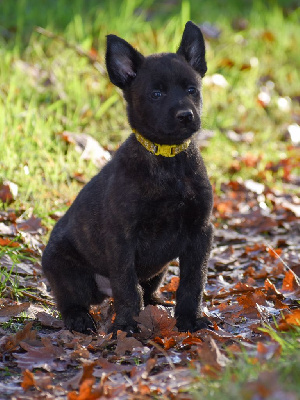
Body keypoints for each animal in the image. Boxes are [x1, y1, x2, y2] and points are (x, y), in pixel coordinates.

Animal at [42, 21, 216, 334]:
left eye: (191, 89)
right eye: (156, 94)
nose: (186, 115)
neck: (167, 162)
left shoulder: (200, 231)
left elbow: (193, 282)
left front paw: (189, 319)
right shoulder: (123, 236)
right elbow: (127, 286)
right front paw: (126, 327)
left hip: (158, 271)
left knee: (148, 290)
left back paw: (157, 303)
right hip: (68, 272)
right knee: (70, 301)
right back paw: (80, 319)